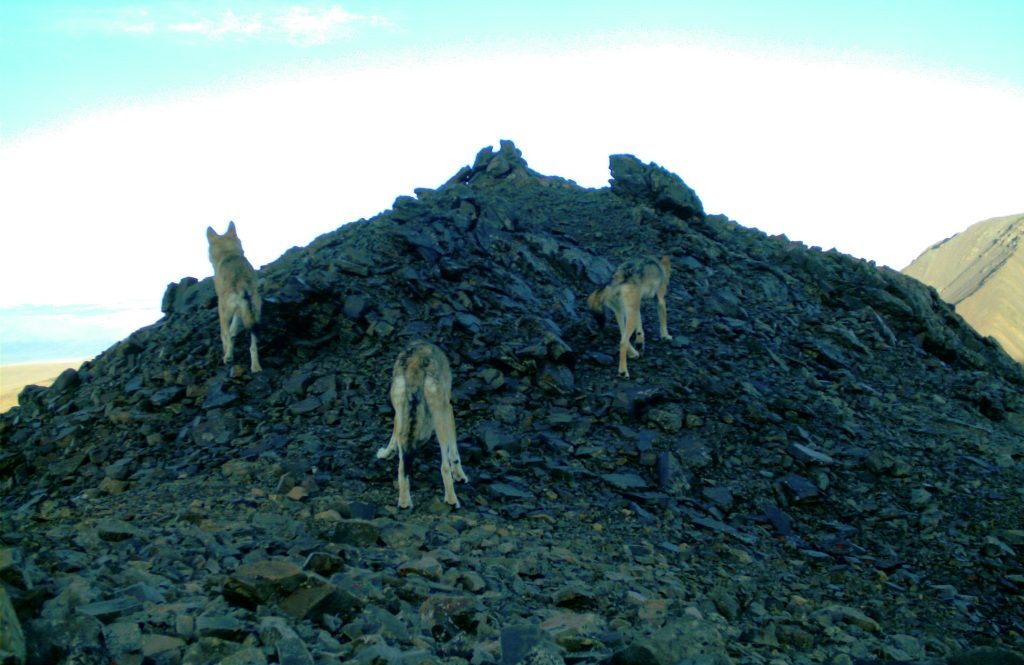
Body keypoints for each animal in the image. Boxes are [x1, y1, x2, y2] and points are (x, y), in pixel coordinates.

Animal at [205, 219, 262, 370]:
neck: (228, 253)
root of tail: (243, 286)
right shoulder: (239, 311)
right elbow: (233, 331)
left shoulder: (223, 310)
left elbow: (226, 335)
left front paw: (227, 354)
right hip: (254, 315)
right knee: (252, 346)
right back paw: (256, 368)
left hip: (223, 313)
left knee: (225, 336)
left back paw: (228, 357)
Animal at [378, 342, 468, 508]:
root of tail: (415, 364)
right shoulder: (448, 409)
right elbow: (454, 452)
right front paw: (460, 475)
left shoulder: (399, 415)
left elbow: (393, 435)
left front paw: (386, 453)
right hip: (439, 418)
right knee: (444, 466)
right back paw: (452, 500)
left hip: (401, 410)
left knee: (402, 467)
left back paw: (404, 503)